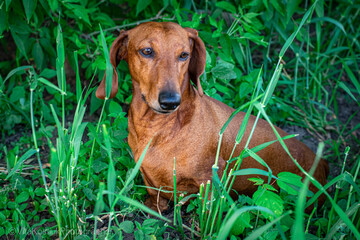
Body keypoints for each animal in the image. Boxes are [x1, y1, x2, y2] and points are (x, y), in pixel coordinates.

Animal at [96, 21, 330, 211]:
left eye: (184, 55)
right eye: (146, 51)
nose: (170, 101)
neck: (159, 128)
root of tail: (322, 162)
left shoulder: (209, 180)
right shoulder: (150, 180)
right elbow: (155, 198)